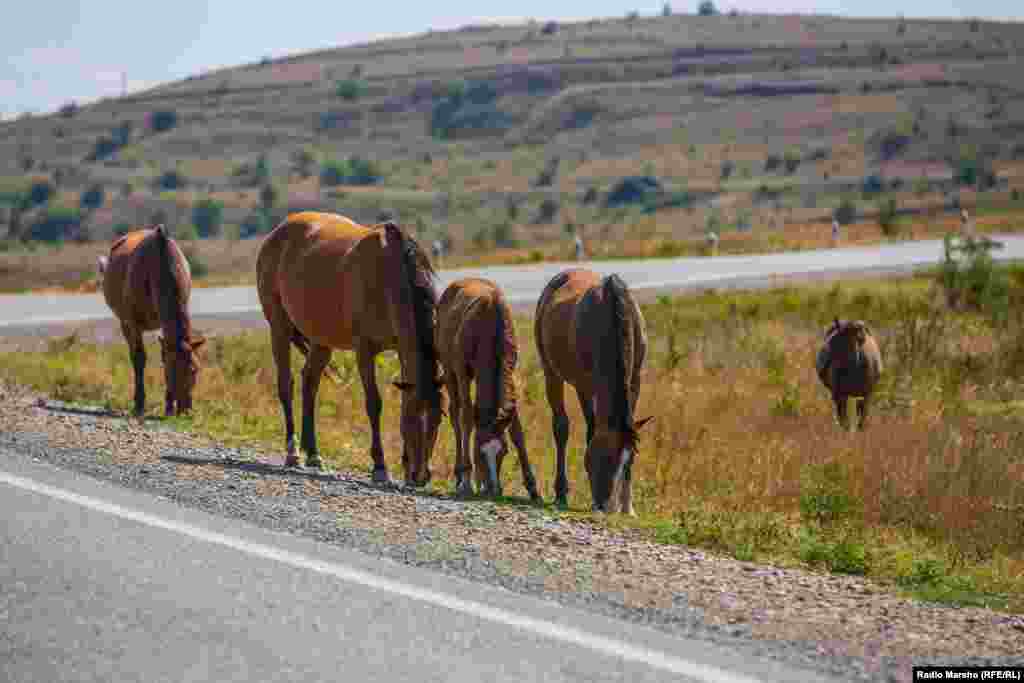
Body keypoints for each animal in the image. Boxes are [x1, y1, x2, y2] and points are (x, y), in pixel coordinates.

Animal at [99, 224, 203, 417]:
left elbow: (164, 352)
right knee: (134, 355)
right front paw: (139, 404)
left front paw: (168, 407)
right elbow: (140, 358)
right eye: (171, 370)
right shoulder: (133, 321)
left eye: (195, 369)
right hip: (124, 322)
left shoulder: (165, 323)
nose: (185, 410)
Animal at [253, 210, 442, 483]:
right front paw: (380, 467)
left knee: (309, 383)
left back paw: (314, 454)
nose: (420, 476)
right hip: (279, 327)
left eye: (438, 420)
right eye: (412, 417)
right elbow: (374, 403)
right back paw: (293, 453)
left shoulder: (401, 347)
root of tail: (276, 233)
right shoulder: (364, 350)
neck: (388, 276)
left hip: (321, 339)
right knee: (286, 384)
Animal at [434, 276, 544, 501]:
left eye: (504, 451)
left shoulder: (510, 369)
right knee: (455, 413)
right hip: (449, 370)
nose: (494, 489)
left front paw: (532, 487)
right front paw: (467, 481)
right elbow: (467, 418)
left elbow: (516, 429)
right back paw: (459, 475)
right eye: (478, 451)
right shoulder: (462, 370)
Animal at [532, 266, 651, 511]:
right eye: (601, 455)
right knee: (561, 427)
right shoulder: (586, 385)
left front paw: (628, 507)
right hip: (551, 372)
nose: (607, 506)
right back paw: (561, 493)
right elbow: (590, 430)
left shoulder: (635, 381)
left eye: (628, 457)